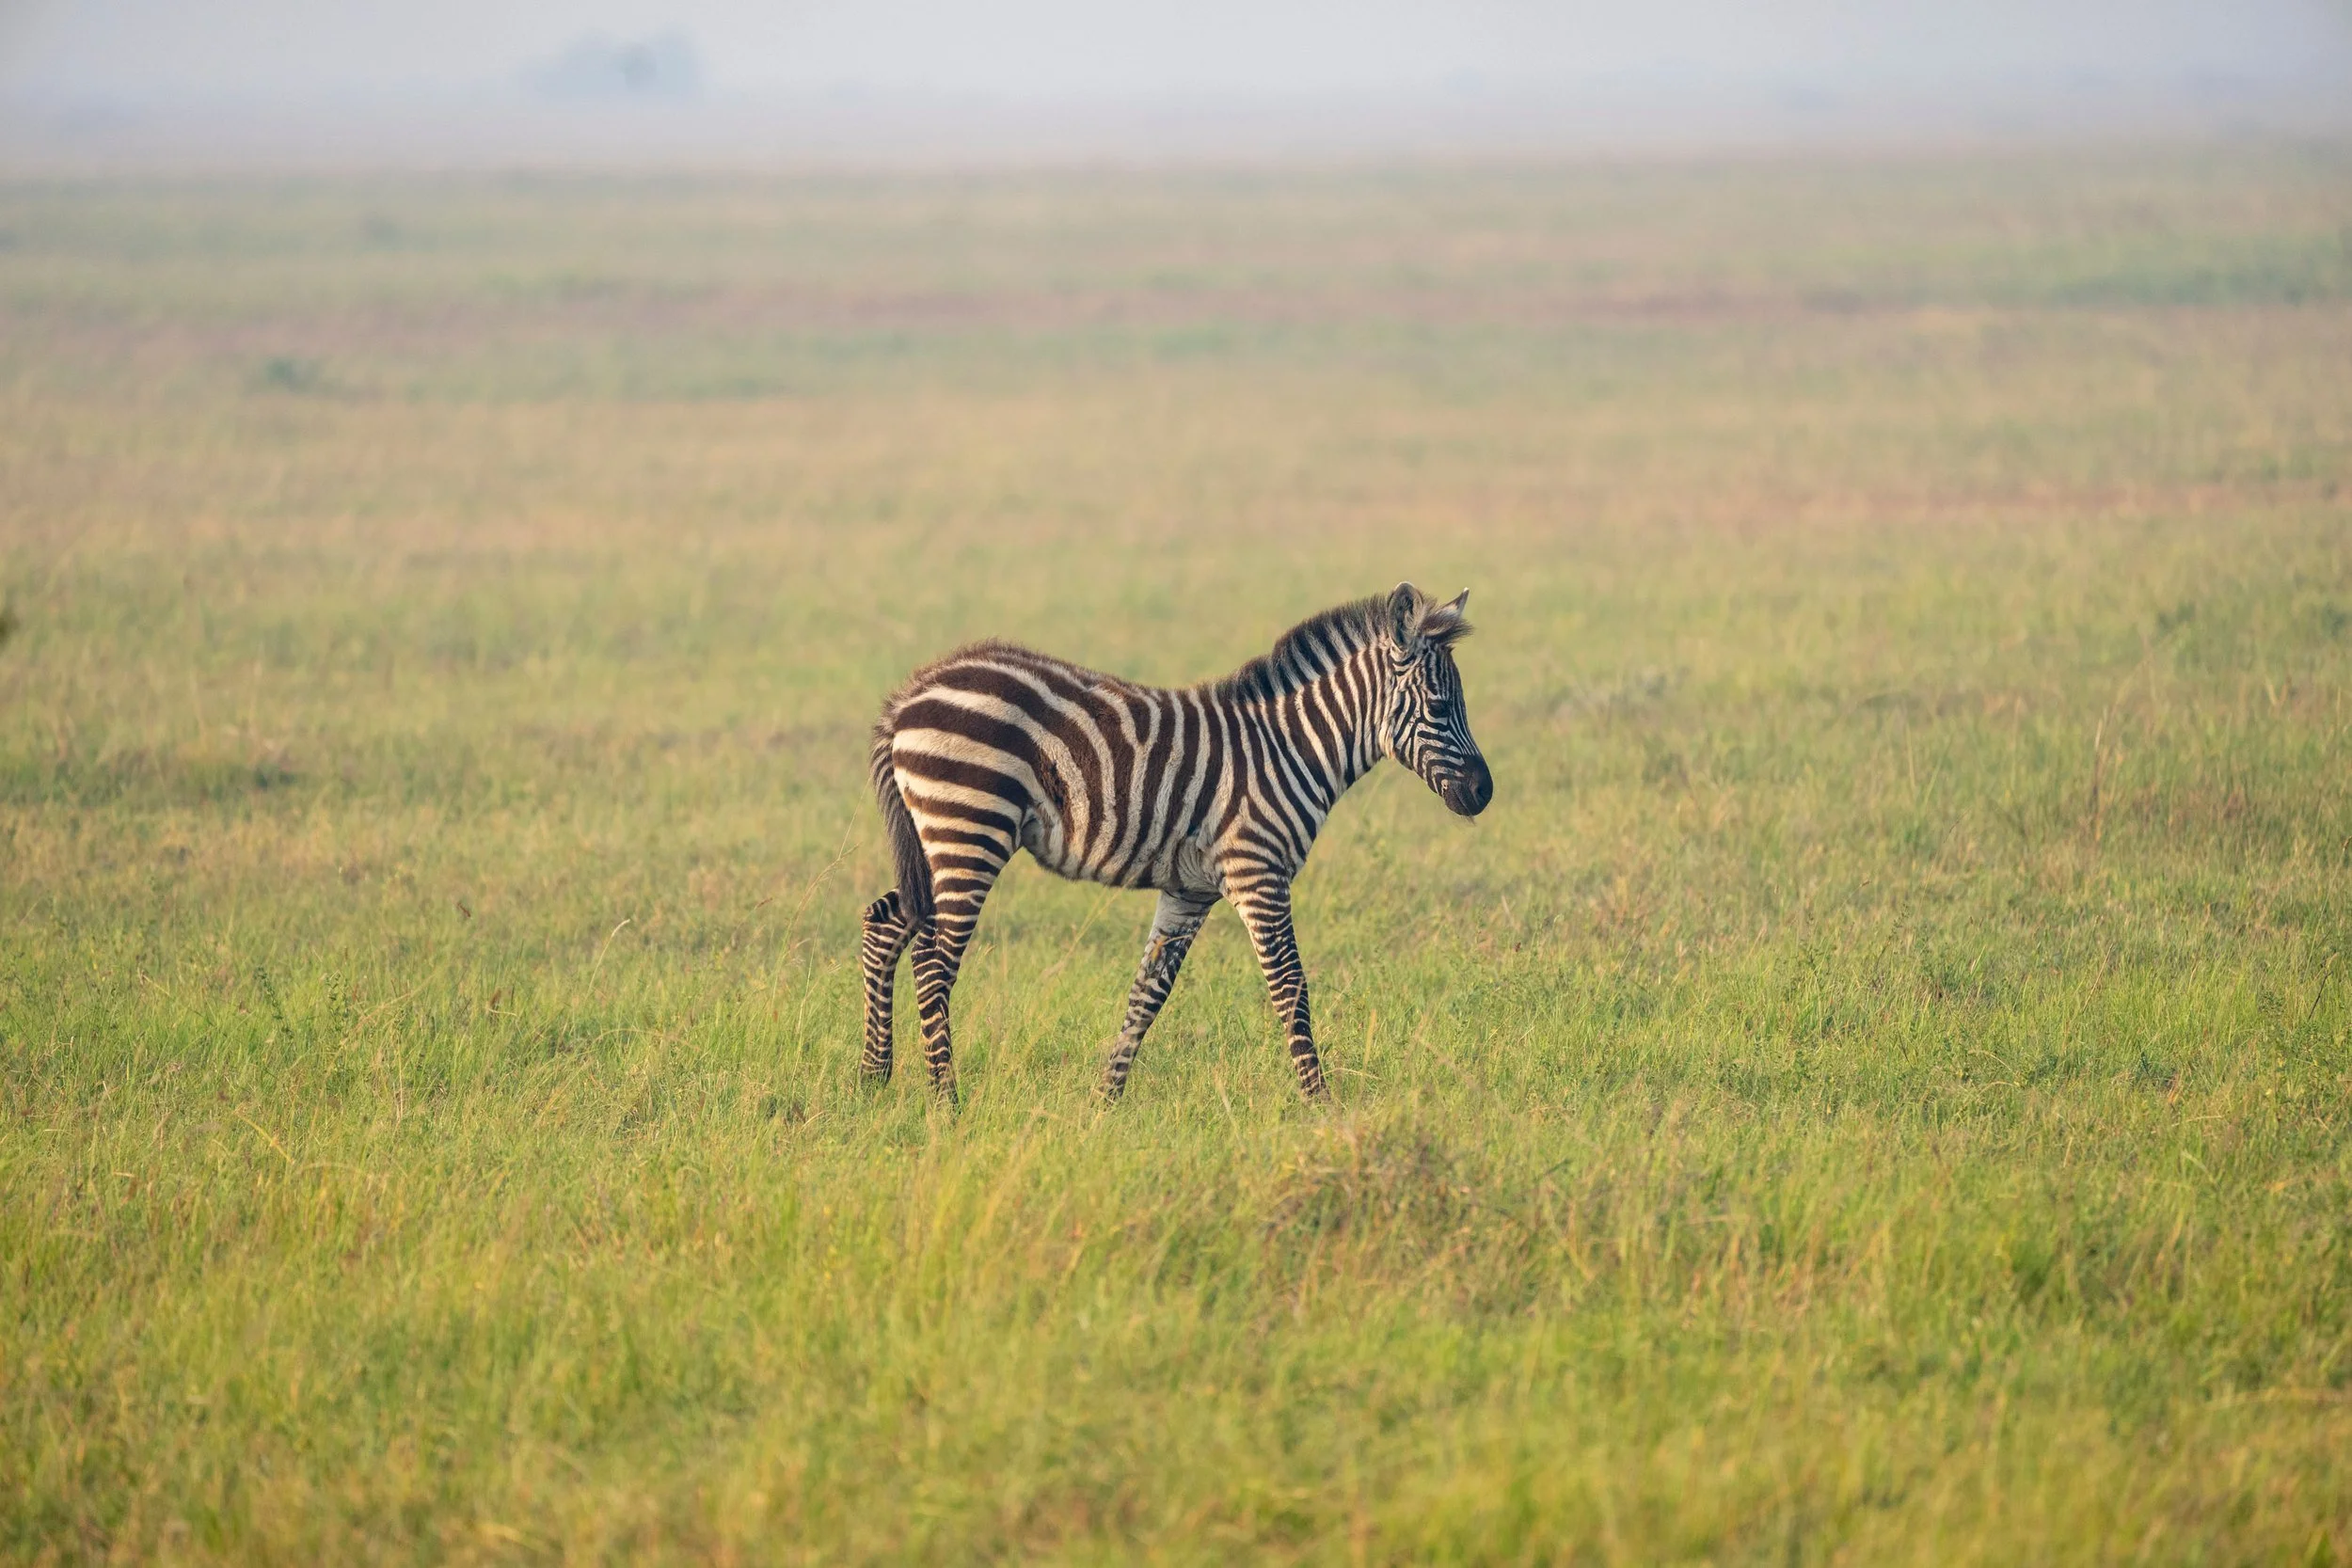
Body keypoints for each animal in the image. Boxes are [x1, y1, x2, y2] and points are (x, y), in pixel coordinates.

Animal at [858, 582, 1491, 1103]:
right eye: (1440, 706)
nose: (1484, 792)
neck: (1288, 748)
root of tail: (910, 695)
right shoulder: (1258, 873)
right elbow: (1290, 986)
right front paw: (1321, 1104)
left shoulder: (1190, 890)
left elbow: (1148, 992)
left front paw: (1104, 1102)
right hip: (970, 829)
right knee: (932, 962)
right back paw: (947, 1101)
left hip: (937, 840)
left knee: (884, 923)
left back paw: (872, 1078)